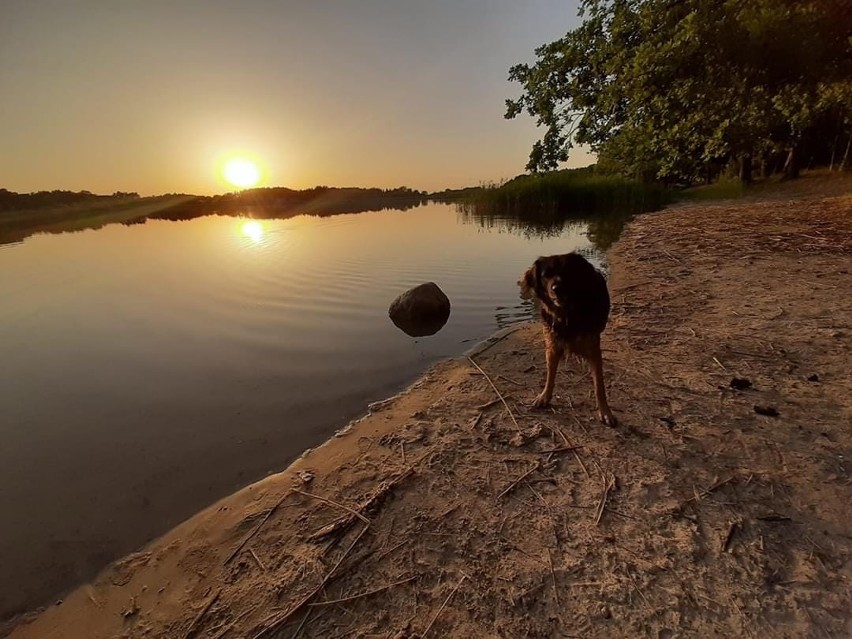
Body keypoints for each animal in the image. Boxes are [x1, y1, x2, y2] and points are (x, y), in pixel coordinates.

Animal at [524, 252, 616, 428]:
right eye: (546, 275)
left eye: (567, 272)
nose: (557, 288)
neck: (567, 315)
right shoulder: (552, 346)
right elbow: (550, 375)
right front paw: (544, 396)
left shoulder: (593, 350)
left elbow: (599, 385)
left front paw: (605, 411)